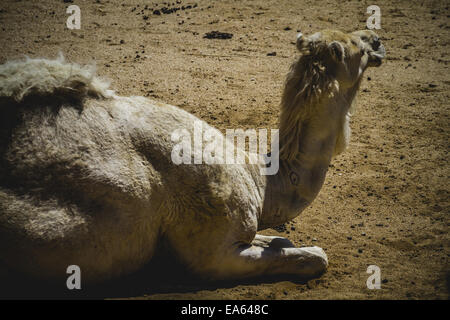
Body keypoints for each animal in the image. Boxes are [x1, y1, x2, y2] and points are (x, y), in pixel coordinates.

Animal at [0, 29, 384, 284]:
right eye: (355, 46)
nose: (377, 39)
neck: (260, 179)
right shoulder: (214, 249)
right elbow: (315, 256)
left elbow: (281, 240)